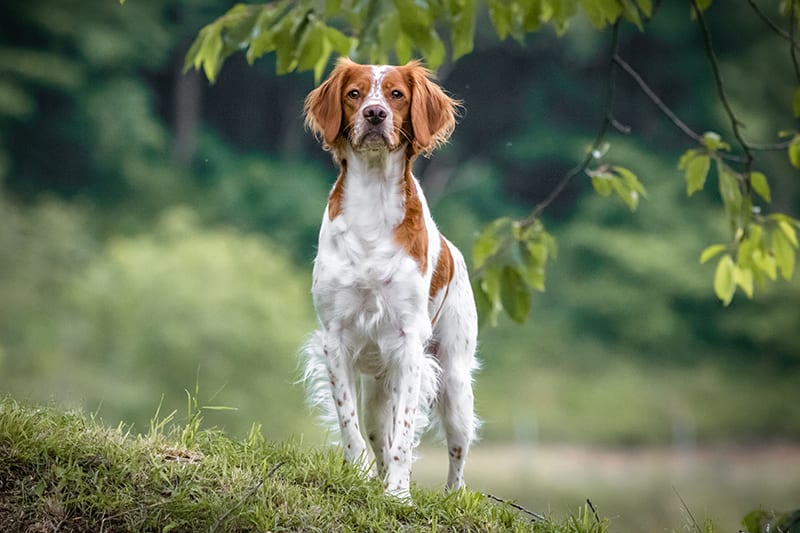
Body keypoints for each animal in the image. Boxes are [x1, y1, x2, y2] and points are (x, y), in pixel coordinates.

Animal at [298, 58, 476, 498]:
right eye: (354, 93)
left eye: (396, 94)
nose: (375, 114)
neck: (373, 206)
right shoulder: (336, 339)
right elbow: (350, 426)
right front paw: (360, 478)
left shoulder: (409, 344)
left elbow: (405, 434)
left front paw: (398, 494)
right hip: (378, 391)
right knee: (379, 432)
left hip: (455, 384)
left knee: (457, 454)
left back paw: (451, 495)